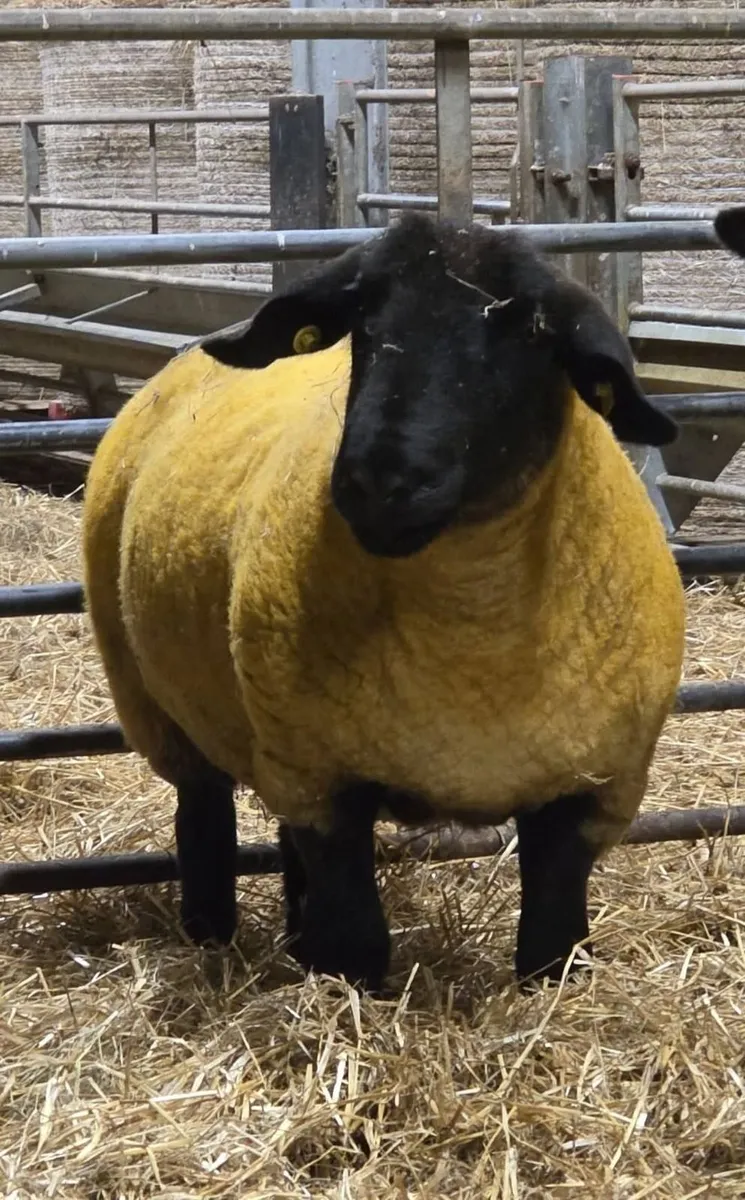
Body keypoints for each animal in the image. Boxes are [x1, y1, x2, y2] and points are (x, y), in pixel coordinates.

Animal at [82, 213, 685, 995]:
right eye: (362, 326)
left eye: (527, 337)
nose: (378, 482)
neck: (471, 633)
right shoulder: (326, 783)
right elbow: (359, 942)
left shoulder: (591, 791)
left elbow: (551, 945)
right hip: (163, 708)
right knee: (204, 817)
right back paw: (210, 936)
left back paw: (292, 940)